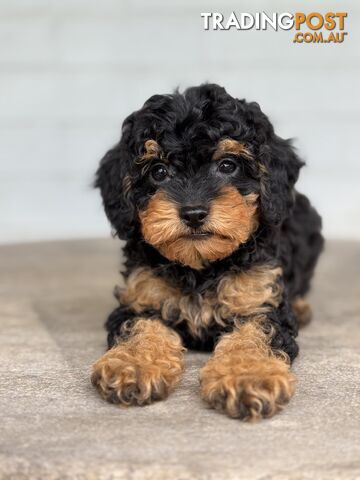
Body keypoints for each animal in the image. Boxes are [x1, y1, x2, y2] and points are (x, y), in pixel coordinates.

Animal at [90, 84, 324, 422]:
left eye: (227, 165)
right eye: (158, 171)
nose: (193, 213)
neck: (200, 267)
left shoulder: (260, 300)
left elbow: (254, 333)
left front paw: (248, 376)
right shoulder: (140, 298)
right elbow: (140, 326)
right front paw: (132, 364)